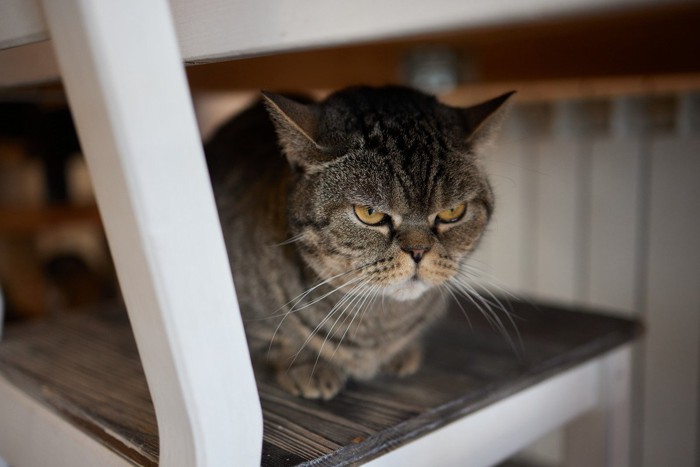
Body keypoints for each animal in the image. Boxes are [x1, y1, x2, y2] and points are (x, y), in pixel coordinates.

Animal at [205, 86, 512, 400]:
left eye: (452, 212)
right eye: (370, 213)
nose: (418, 251)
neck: (376, 326)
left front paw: (402, 353)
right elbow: (276, 341)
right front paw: (308, 367)